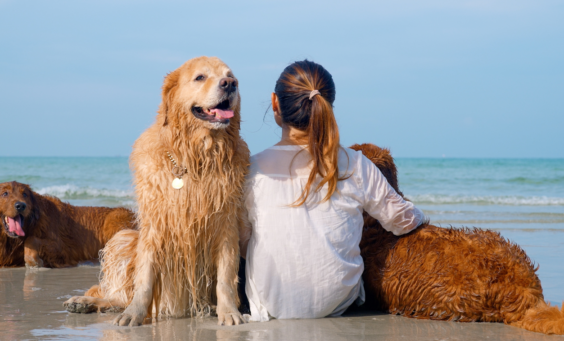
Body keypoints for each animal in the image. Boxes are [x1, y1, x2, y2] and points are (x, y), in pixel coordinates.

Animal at [0, 182, 137, 266]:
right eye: (5, 193)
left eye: (25, 194)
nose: (21, 205)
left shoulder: (62, 249)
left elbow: (31, 240)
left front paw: (34, 262)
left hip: (115, 220)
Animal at [65, 56, 250, 326]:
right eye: (200, 77)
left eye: (231, 76)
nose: (230, 84)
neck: (194, 159)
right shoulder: (154, 224)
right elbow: (144, 280)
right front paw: (134, 314)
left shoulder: (225, 224)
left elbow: (226, 278)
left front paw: (229, 312)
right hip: (124, 238)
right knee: (119, 296)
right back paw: (86, 302)